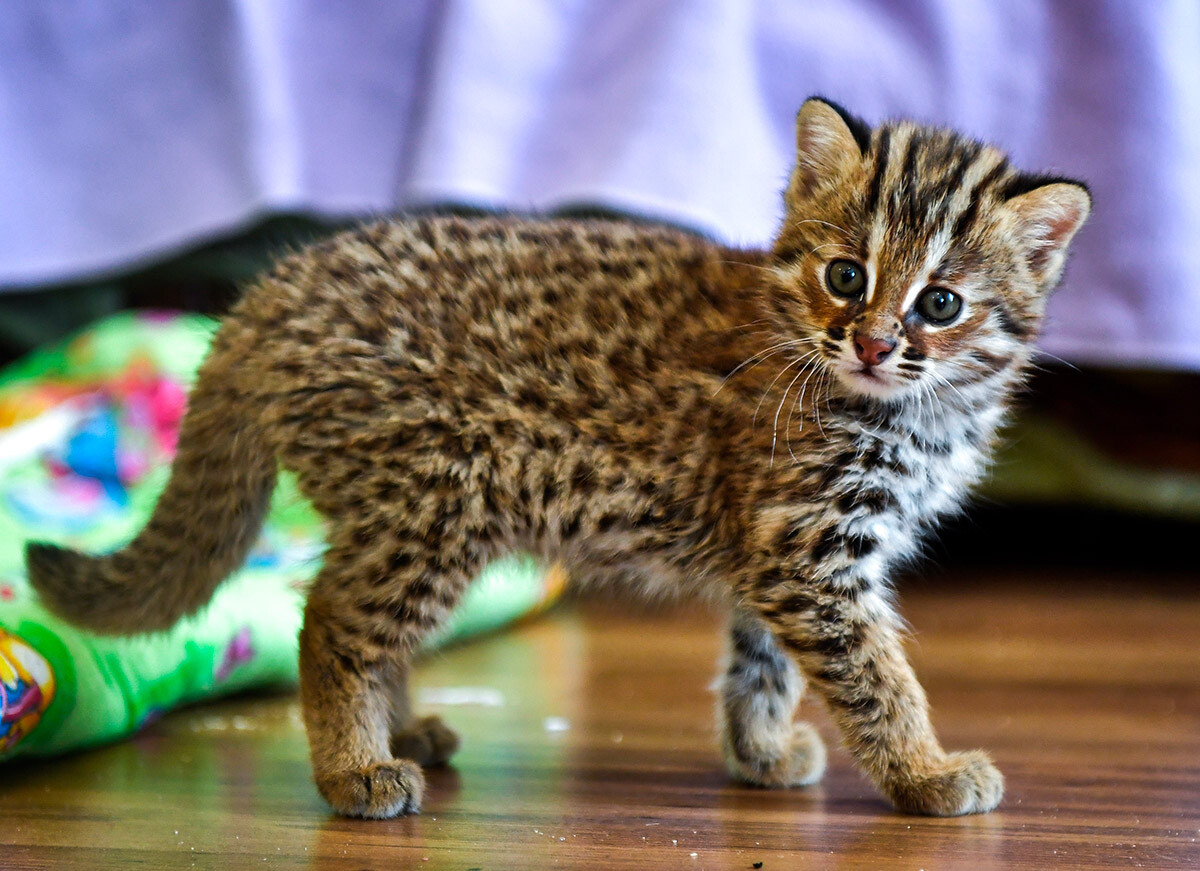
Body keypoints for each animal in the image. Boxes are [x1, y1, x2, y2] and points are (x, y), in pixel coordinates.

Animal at [23, 98, 1094, 820]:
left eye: (941, 303)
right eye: (845, 276)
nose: (871, 342)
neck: (914, 406)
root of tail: (274, 288)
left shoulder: (778, 551)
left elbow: (761, 661)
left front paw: (759, 752)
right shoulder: (810, 551)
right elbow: (877, 673)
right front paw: (927, 770)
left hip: (399, 509)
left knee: (348, 606)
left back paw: (400, 728)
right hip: (435, 498)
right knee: (329, 618)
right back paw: (356, 768)